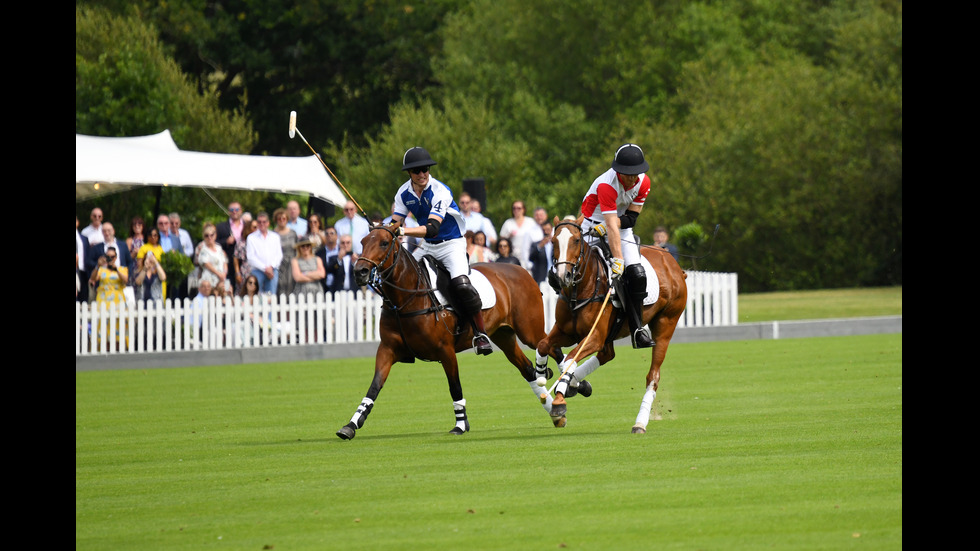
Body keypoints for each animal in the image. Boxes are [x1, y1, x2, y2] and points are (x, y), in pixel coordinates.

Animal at [336, 222, 564, 442]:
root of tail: (523, 271)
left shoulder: (445, 351)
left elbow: (455, 386)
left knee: (550, 347)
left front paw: (461, 425)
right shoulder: (387, 349)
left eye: (384, 243)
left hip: (529, 331)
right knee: (527, 369)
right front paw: (350, 425)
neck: (406, 300)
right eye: (363, 241)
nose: (359, 272)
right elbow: (374, 386)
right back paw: (555, 412)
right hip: (504, 335)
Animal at [536, 213, 688, 434]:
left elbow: (571, 357)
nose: (563, 276)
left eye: (576, 240)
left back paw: (640, 423)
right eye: (554, 241)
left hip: (666, 324)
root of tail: (674, 264)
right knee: (607, 354)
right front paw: (547, 377)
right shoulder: (565, 331)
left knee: (653, 376)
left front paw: (559, 400)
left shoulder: (595, 336)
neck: (582, 288)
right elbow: (544, 345)